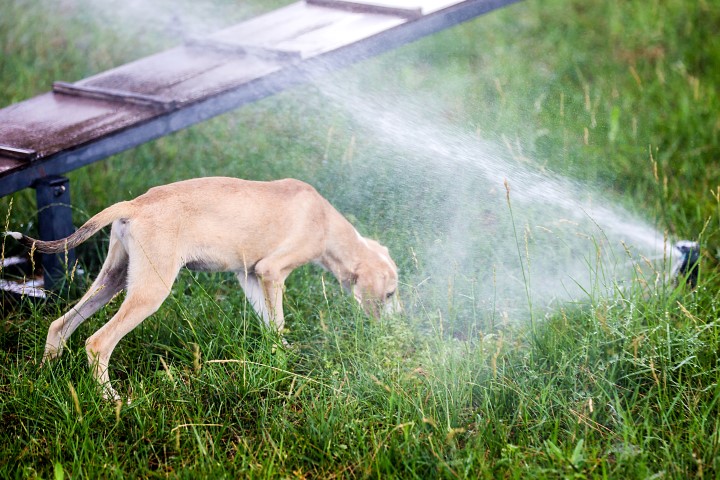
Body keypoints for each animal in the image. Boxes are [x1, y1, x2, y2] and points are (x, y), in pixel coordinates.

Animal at [7, 178, 400, 400]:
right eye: (392, 294)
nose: (395, 329)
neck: (327, 223)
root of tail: (134, 204)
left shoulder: (251, 276)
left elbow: (272, 326)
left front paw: (281, 357)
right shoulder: (272, 272)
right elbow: (279, 320)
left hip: (113, 280)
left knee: (60, 325)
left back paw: (43, 376)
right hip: (150, 291)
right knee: (97, 342)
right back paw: (110, 398)